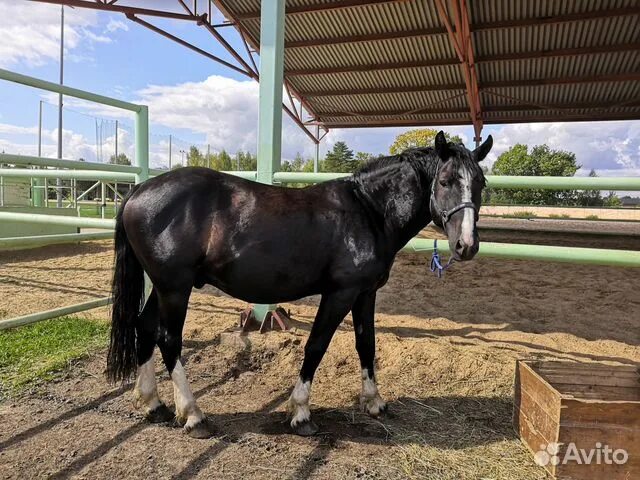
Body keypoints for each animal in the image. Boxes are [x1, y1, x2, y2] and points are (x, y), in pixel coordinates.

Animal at [107, 131, 492, 438]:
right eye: (445, 181)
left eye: (480, 184)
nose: (467, 245)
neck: (369, 211)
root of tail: (138, 190)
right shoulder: (339, 294)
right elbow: (316, 346)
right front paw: (301, 413)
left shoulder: (365, 293)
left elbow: (366, 345)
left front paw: (374, 403)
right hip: (175, 288)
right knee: (168, 340)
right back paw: (193, 415)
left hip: (162, 287)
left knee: (145, 328)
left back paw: (154, 405)